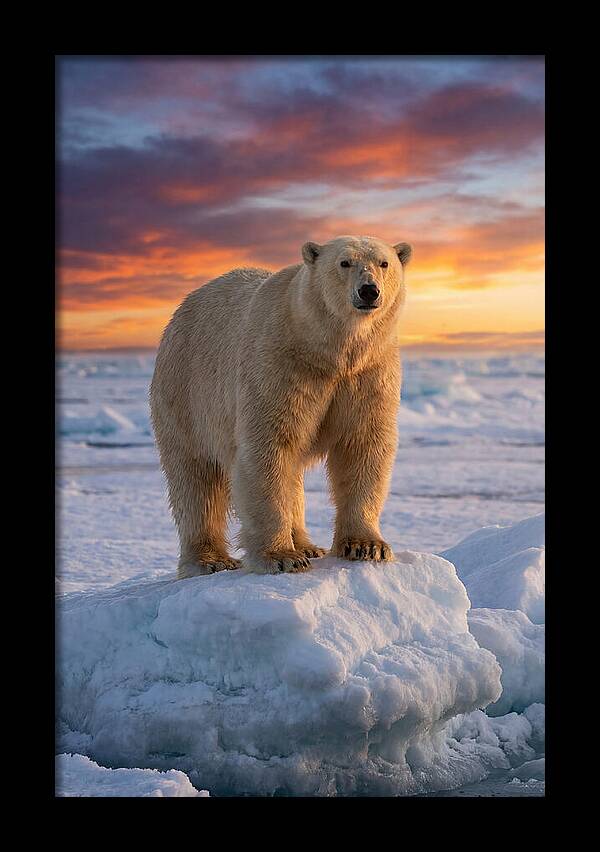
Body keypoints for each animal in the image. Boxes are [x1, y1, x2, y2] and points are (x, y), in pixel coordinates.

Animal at [149, 235, 412, 577]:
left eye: (384, 263)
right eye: (344, 263)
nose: (369, 290)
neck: (327, 350)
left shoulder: (369, 373)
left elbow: (362, 445)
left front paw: (367, 546)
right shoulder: (279, 364)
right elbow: (268, 447)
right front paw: (281, 556)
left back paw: (308, 545)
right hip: (186, 391)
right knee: (196, 479)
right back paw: (210, 559)